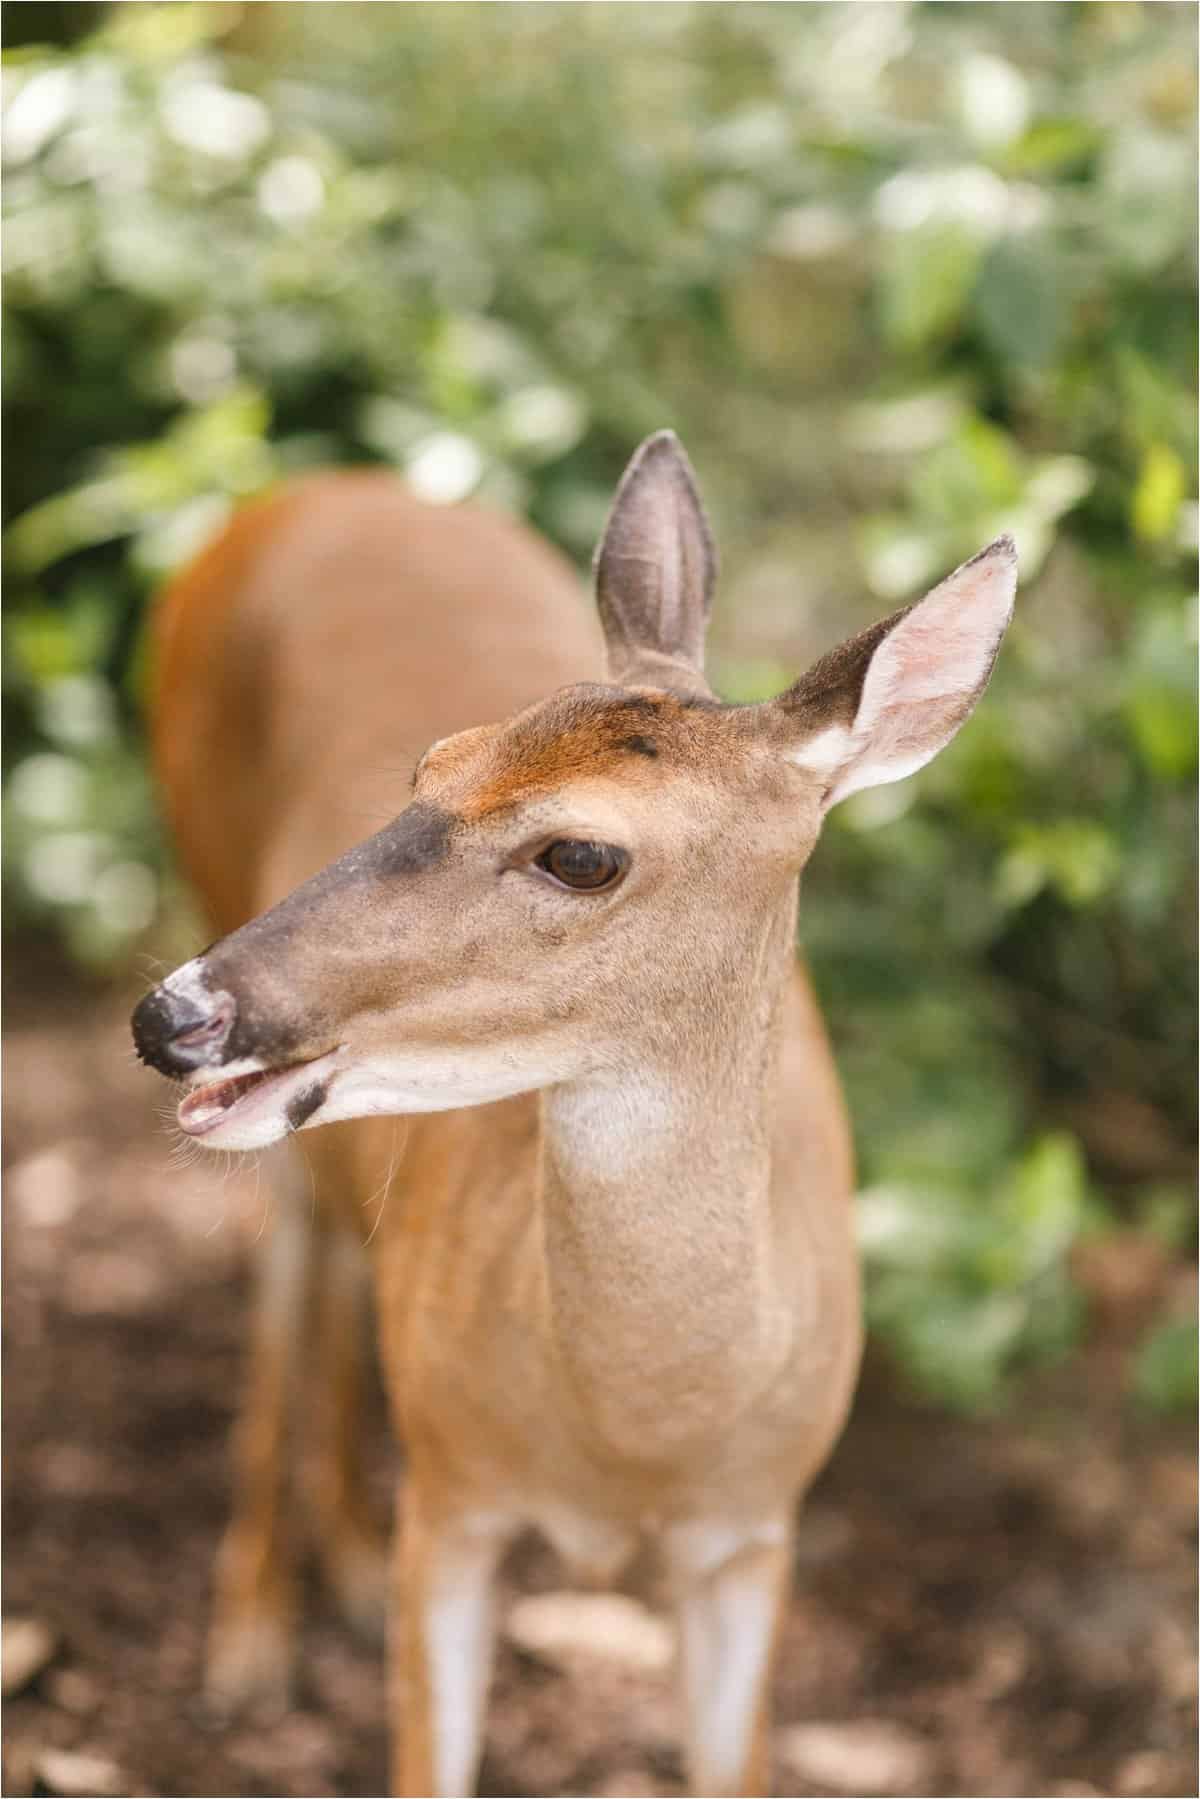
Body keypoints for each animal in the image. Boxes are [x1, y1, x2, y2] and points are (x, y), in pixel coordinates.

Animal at [129, 438, 1014, 1799]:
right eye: (430, 763)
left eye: (581, 855)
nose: (174, 1012)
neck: (632, 1437)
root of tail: (291, 496)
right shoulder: (452, 1496)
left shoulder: (754, 1531)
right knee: (290, 1283)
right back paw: (251, 1640)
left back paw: (339, 1563)